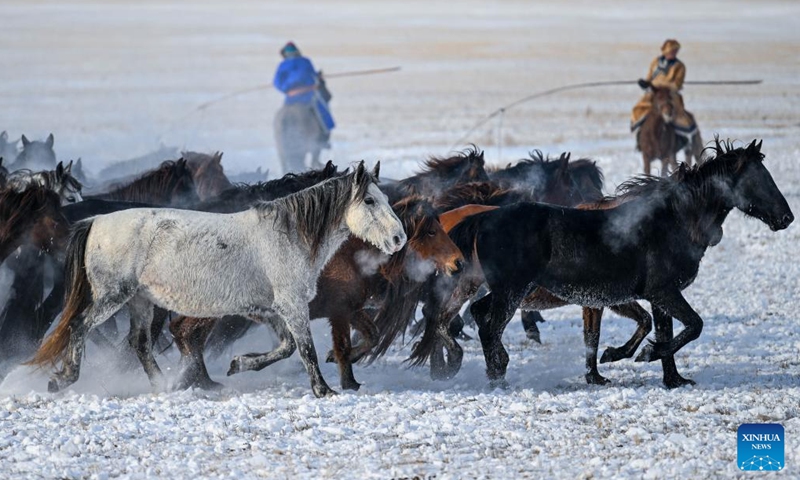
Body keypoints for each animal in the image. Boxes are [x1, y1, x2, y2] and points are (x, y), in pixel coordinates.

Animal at [30, 161, 406, 398]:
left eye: (386, 199)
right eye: (369, 200)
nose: (399, 238)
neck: (287, 235)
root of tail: (93, 222)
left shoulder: (267, 310)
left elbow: (285, 348)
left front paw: (239, 364)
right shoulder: (292, 306)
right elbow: (305, 350)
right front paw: (323, 390)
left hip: (140, 301)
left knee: (138, 344)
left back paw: (164, 386)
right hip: (112, 296)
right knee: (79, 326)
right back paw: (63, 379)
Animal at [171, 195, 466, 390]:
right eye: (430, 231)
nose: (459, 263)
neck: (352, 255)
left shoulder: (352, 309)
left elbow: (371, 336)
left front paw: (339, 365)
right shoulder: (340, 312)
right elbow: (344, 345)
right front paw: (348, 382)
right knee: (185, 333)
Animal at [450, 141, 792, 388]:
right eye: (758, 178)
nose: (786, 217)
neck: (673, 220)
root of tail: (483, 218)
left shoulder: (653, 298)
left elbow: (661, 330)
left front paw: (671, 379)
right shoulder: (663, 292)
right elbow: (693, 326)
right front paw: (644, 354)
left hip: (509, 290)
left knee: (480, 315)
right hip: (512, 291)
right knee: (490, 326)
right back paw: (498, 376)